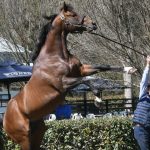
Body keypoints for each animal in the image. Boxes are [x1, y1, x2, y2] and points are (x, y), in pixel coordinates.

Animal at [2, 2, 136, 150]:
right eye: (72, 15)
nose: (93, 24)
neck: (55, 57)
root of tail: (5, 118)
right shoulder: (64, 83)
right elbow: (88, 80)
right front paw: (98, 99)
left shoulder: (81, 70)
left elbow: (103, 67)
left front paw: (129, 69)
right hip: (24, 138)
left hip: (38, 132)